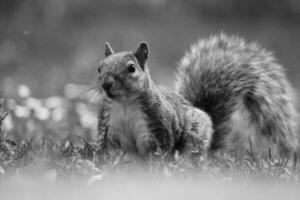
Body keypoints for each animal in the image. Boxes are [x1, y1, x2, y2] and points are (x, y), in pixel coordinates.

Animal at [96, 33, 298, 161]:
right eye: (99, 67)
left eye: (131, 68)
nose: (106, 84)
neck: (125, 104)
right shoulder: (109, 126)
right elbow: (108, 148)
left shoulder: (157, 124)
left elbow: (158, 149)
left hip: (195, 134)